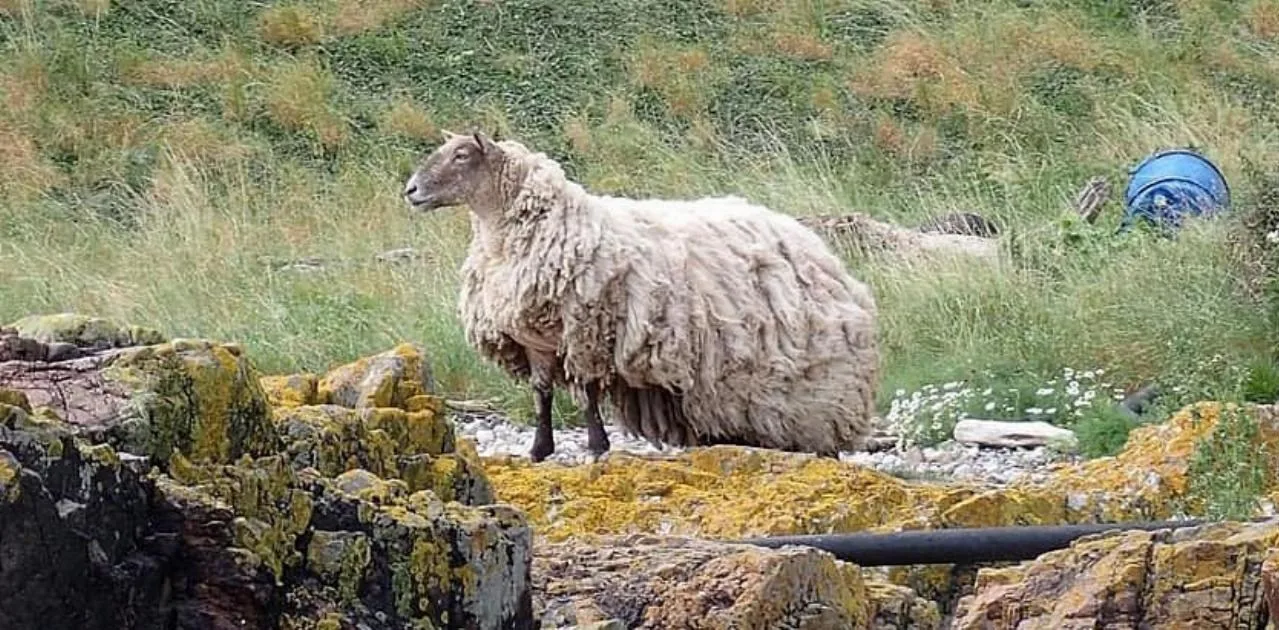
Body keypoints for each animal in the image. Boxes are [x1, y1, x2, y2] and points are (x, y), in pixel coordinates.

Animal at [401, 130, 880, 462]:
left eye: (462, 155)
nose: (410, 190)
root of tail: (821, 252)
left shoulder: (585, 330)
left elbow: (587, 394)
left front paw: (597, 446)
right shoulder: (535, 339)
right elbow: (541, 395)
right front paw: (539, 450)